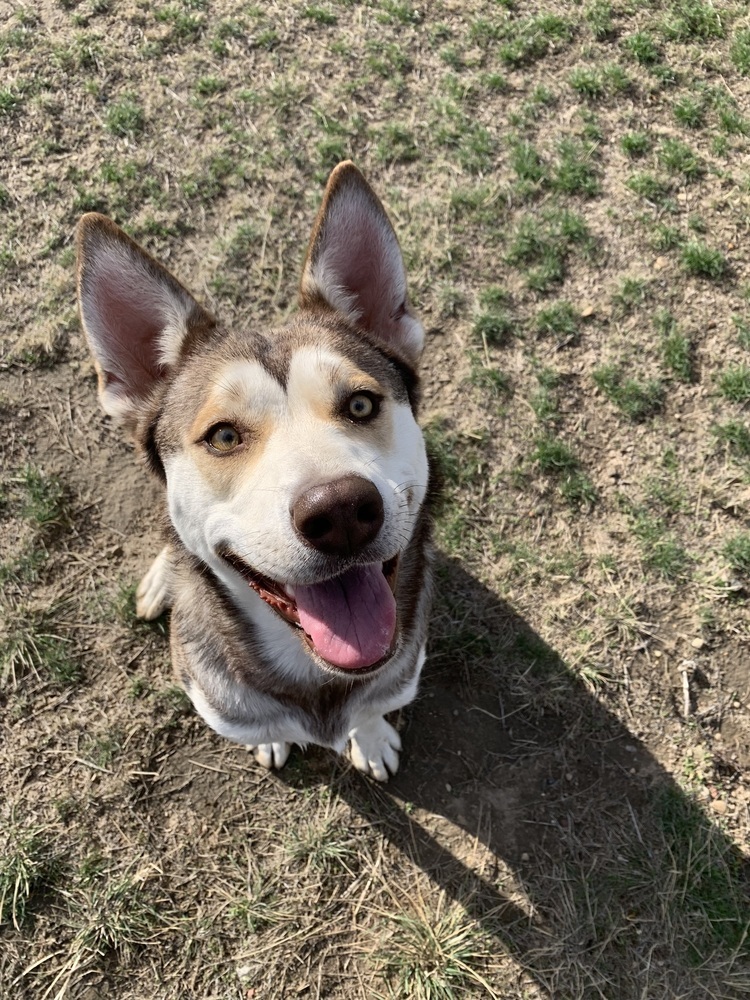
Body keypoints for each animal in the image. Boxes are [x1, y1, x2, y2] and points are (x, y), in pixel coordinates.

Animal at [76, 160, 434, 780]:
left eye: (361, 403)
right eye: (223, 436)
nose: (341, 511)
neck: (321, 675)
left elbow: (372, 709)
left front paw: (371, 737)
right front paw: (273, 741)